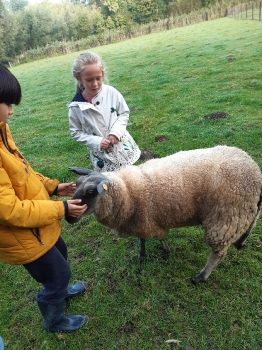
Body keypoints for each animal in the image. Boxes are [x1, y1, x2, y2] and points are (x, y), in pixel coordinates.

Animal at [65, 146, 262, 284]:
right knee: (251, 225)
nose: (69, 217)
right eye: (77, 184)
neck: (127, 192)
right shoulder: (141, 220)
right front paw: (142, 254)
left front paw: (165, 250)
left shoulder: (148, 220)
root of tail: (254, 170)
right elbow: (142, 239)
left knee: (218, 252)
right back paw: (240, 242)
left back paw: (201, 276)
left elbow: (159, 237)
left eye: (91, 192)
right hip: (246, 210)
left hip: (225, 217)